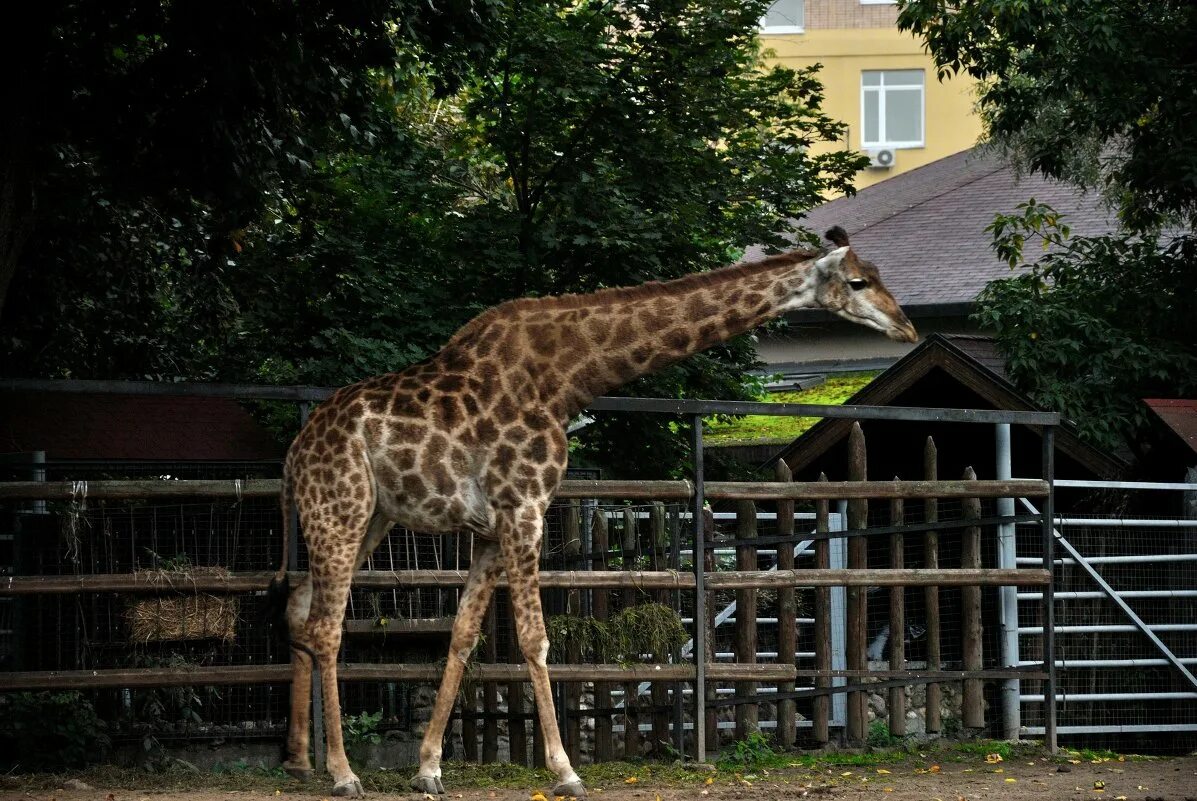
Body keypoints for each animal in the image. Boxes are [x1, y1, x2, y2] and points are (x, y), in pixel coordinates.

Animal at [266, 225, 909, 795]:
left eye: (880, 275)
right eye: (857, 281)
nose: (904, 325)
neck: (567, 376)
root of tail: (294, 456)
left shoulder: (492, 526)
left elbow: (463, 636)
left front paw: (428, 770)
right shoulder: (524, 507)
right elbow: (534, 639)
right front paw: (565, 770)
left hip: (367, 517)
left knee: (298, 605)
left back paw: (298, 761)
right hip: (342, 508)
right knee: (326, 625)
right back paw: (342, 774)